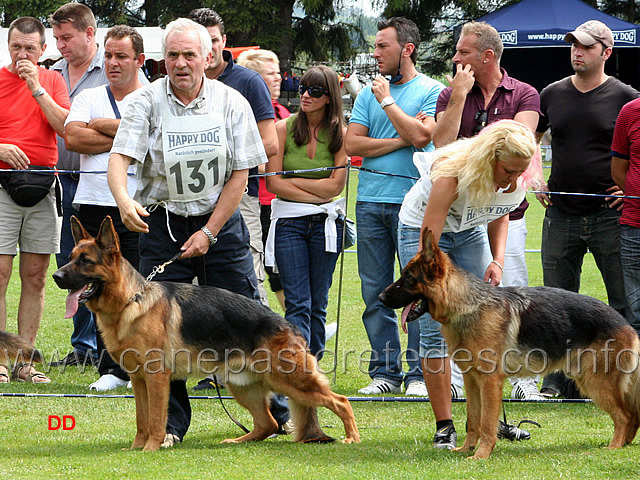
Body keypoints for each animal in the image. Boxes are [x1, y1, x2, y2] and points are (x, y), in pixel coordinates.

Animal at [52, 217, 360, 450]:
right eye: (70, 258)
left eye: (85, 261)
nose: (56, 276)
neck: (131, 301)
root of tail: (290, 326)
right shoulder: (138, 380)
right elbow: (142, 420)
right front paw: (135, 448)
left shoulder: (156, 378)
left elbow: (155, 420)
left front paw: (150, 449)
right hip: (243, 385)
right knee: (267, 423)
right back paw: (238, 440)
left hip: (292, 382)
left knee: (341, 402)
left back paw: (352, 438)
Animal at [380, 227, 640, 460]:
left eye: (408, 278)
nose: (380, 297)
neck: (466, 305)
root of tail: (626, 324)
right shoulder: (472, 380)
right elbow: (473, 419)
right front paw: (467, 449)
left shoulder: (490, 382)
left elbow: (486, 422)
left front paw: (481, 455)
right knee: (632, 415)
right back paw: (625, 443)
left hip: (596, 383)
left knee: (624, 415)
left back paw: (614, 447)